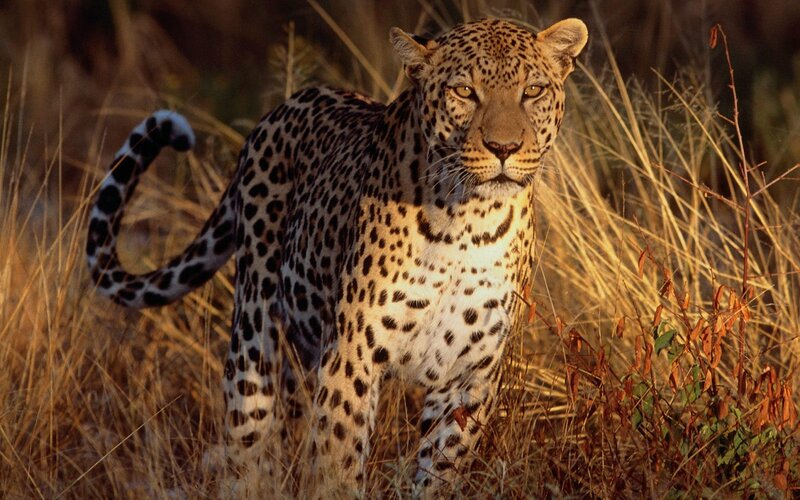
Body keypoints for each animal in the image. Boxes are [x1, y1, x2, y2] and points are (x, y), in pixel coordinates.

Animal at [86, 17, 588, 494]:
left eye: (533, 91)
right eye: (464, 91)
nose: (504, 148)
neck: (469, 223)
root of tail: (284, 107)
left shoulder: (469, 376)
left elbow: (439, 474)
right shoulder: (352, 353)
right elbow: (337, 464)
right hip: (254, 331)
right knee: (247, 441)